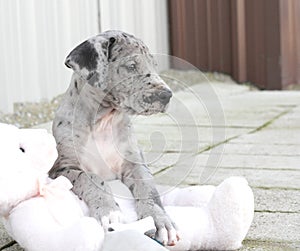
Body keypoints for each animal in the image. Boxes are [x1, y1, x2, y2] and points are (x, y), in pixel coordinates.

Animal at [47, 29, 177, 245]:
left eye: (154, 65)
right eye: (131, 66)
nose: (167, 95)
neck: (103, 122)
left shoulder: (135, 164)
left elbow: (149, 189)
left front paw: (160, 219)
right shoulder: (64, 167)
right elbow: (92, 178)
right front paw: (108, 211)